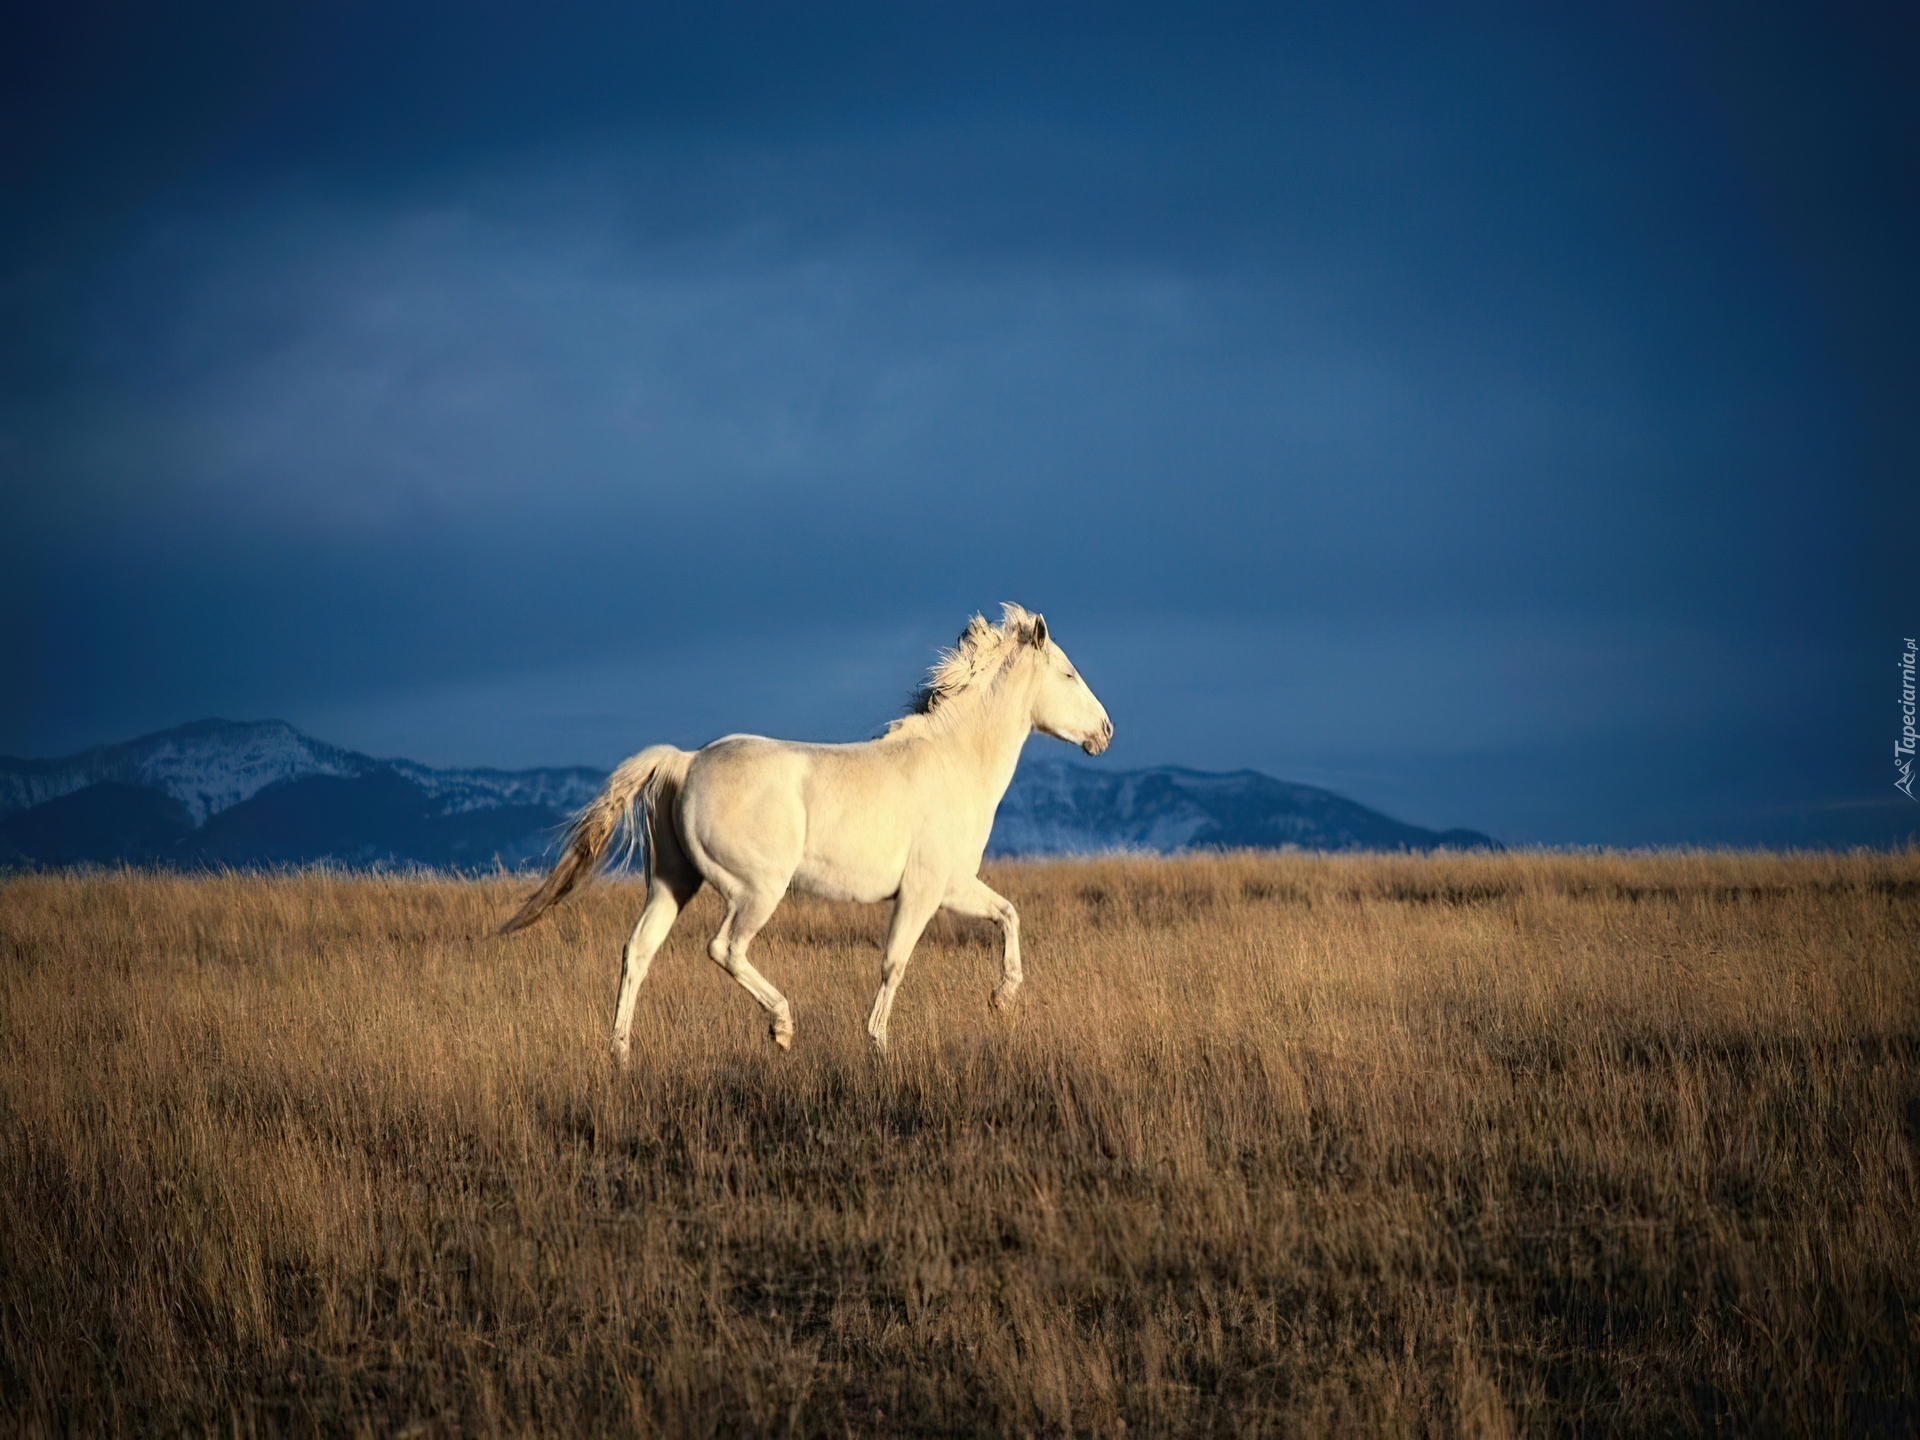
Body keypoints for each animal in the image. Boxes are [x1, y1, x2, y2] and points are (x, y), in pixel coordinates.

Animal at [503, 602, 1121, 1052]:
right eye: (1068, 672)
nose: (1106, 731)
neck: (954, 761)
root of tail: (685, 762)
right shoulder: (922, 891)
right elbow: (895, 962)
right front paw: (878, 1045)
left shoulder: (953, 886)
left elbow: (1008, 914)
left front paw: (1003, 998)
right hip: (756, 889)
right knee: (723, 948)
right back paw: (781, 1027)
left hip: (671, 884)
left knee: (638, 952)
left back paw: (621, 1053)